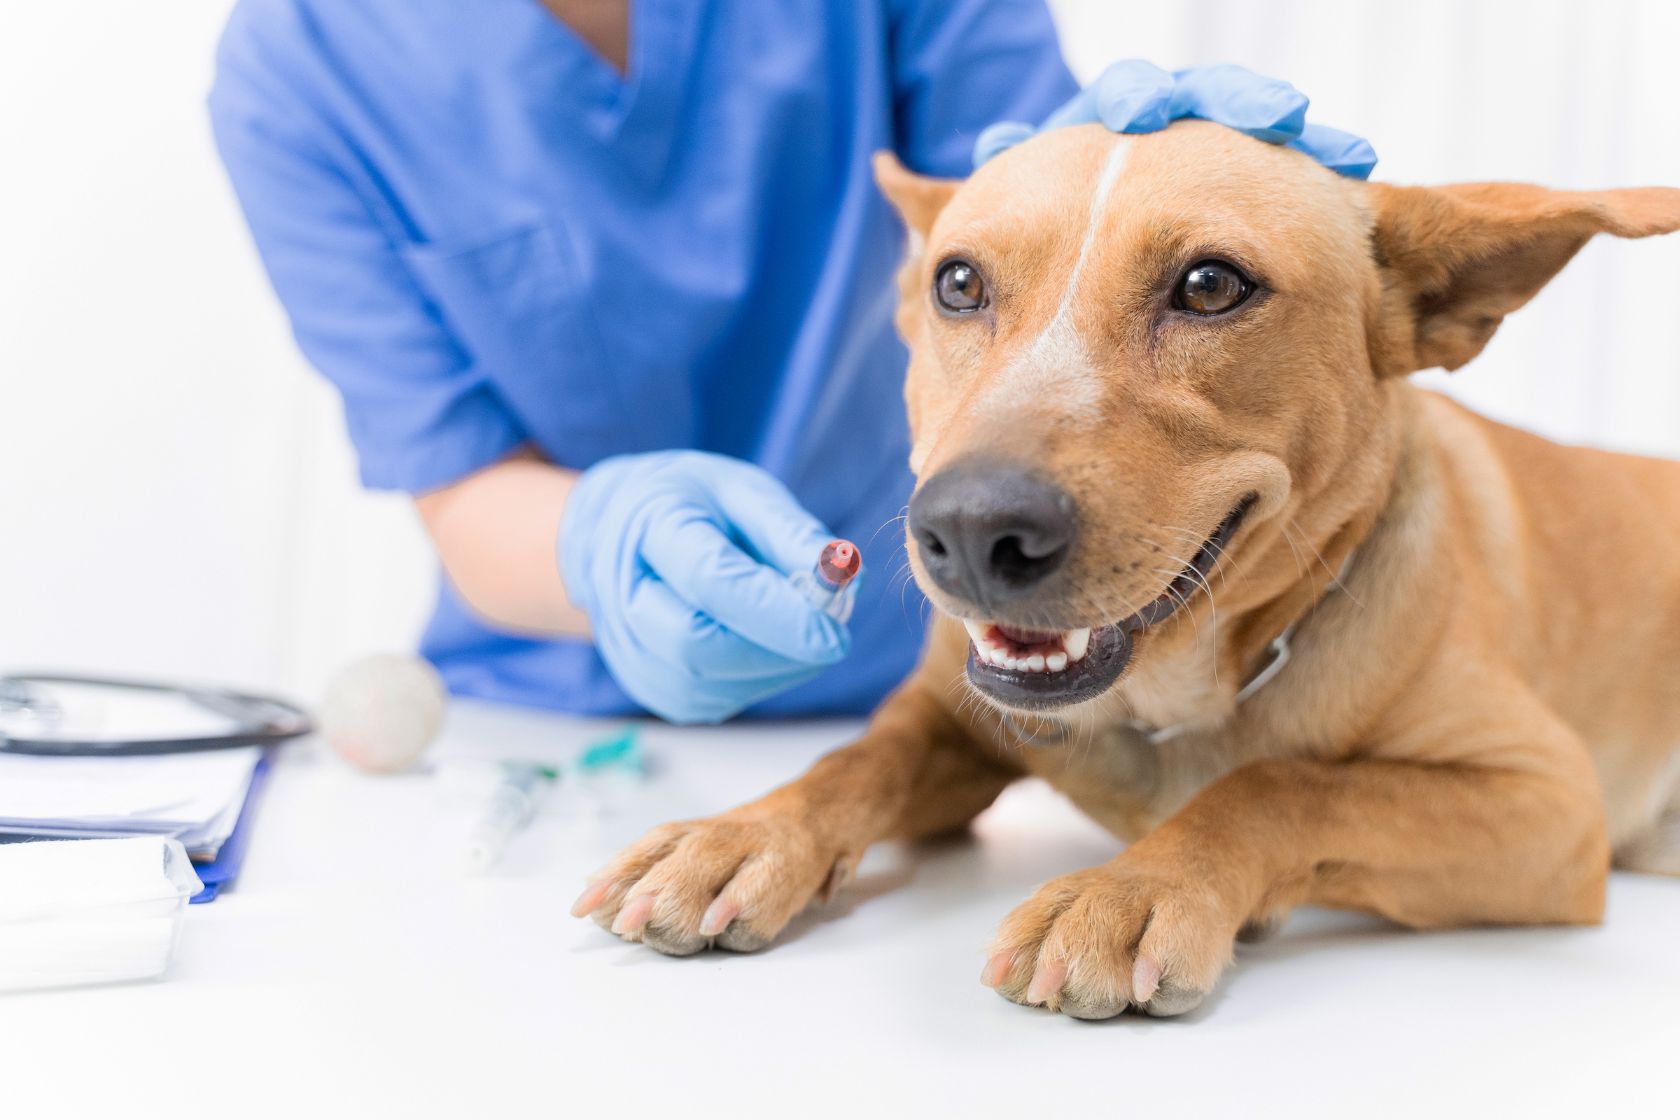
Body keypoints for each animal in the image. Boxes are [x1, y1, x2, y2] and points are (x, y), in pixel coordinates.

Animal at [574, 120, 1680, 1014]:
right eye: (958, 283)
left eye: (1210, 285)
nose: (971, 532)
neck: (1177, 696)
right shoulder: (952, 715)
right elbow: (855, 756)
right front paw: (744, 834)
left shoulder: (1548, 804)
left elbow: (1283, 783)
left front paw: (1138, 890)